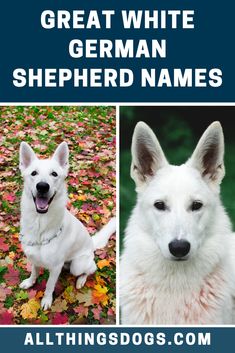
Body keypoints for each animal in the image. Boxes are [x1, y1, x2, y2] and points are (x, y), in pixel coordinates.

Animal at [18, 140, 115, 308]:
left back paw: (81, 280)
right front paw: (30, 282)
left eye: (54, 174)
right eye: (34, 173)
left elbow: (49, 286)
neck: (39, 224)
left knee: (91, 269)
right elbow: (34, 272)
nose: (42, 186)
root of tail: (91, 244)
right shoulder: (34, 259)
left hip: (78, 265)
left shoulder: (55, 268)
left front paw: (46, 300)